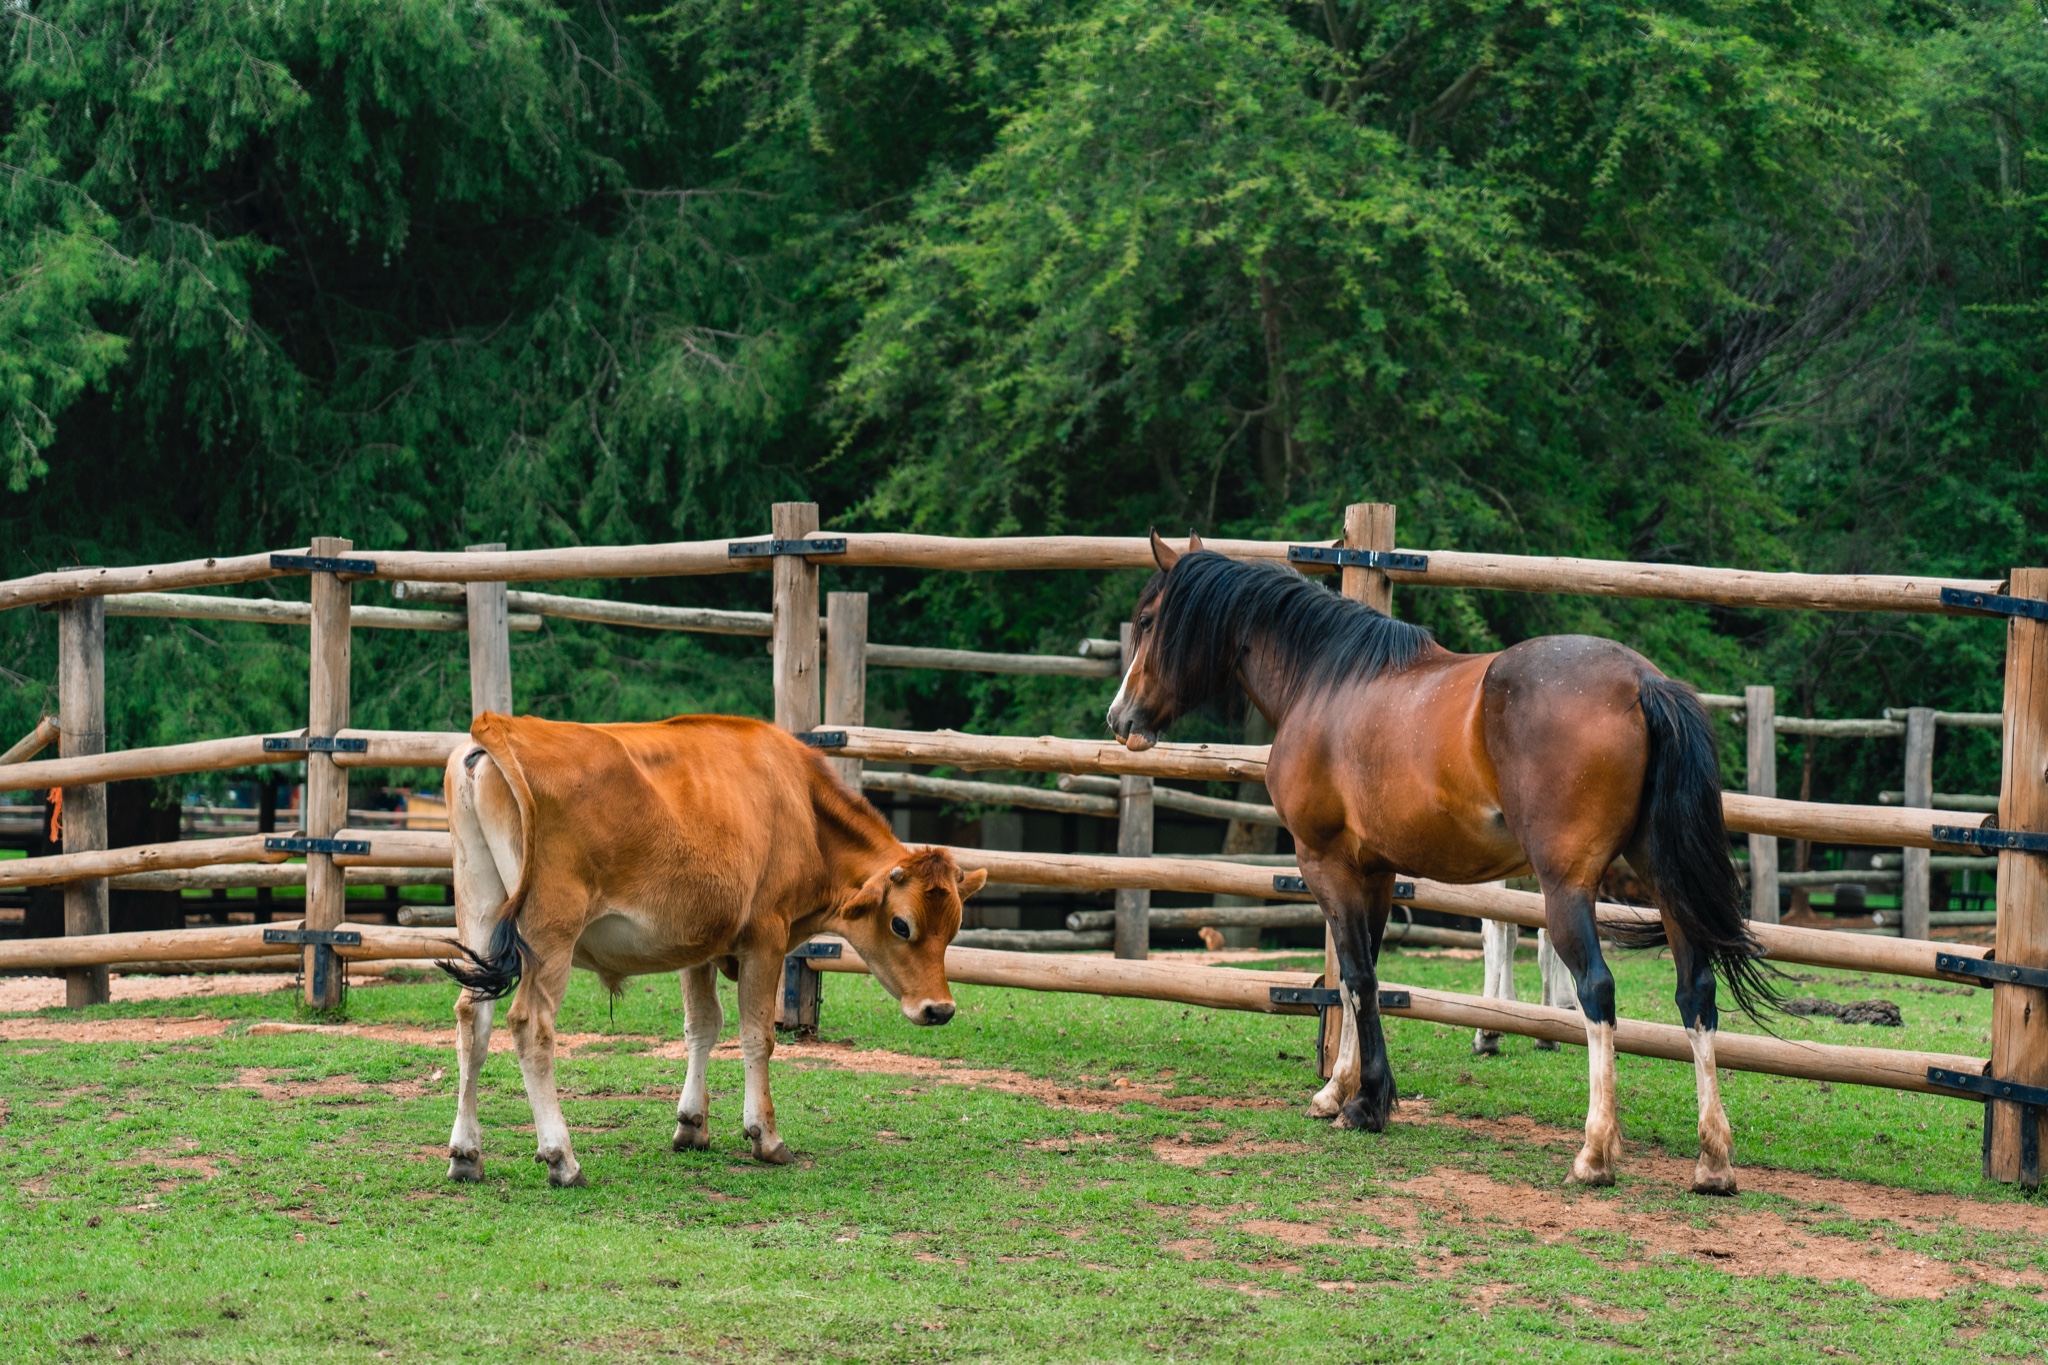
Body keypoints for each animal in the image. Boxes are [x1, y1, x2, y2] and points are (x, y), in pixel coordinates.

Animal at [436, 716, 987, 1186]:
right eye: (901, 924)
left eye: (955, 926)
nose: (939, 1009)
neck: (801, 806)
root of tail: (498, 726)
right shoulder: (766, 936)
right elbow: (757, 1035)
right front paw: (765, 1136)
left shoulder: (696, 944)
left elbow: (702, 1025)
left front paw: (692, 1124)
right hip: (550, 932)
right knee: (531, 1025)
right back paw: (562, 1159)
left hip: (480, 911)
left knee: (471, 1018)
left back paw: (466, 1154)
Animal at [1114, 532, 1769, 1195]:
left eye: (1147, 621)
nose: (1121, 719)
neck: (1326, 682)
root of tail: (1641, 681)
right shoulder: (1375, 871)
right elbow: (1360, 977)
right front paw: (1337, 1090)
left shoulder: (1326, 863)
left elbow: (1356, 976)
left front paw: (1365, 1104)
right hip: (1665, 885)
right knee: (1695, 992)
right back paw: (1713, 1161)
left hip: (1565, 887)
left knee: (1597, 989)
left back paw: (1595, 1152)